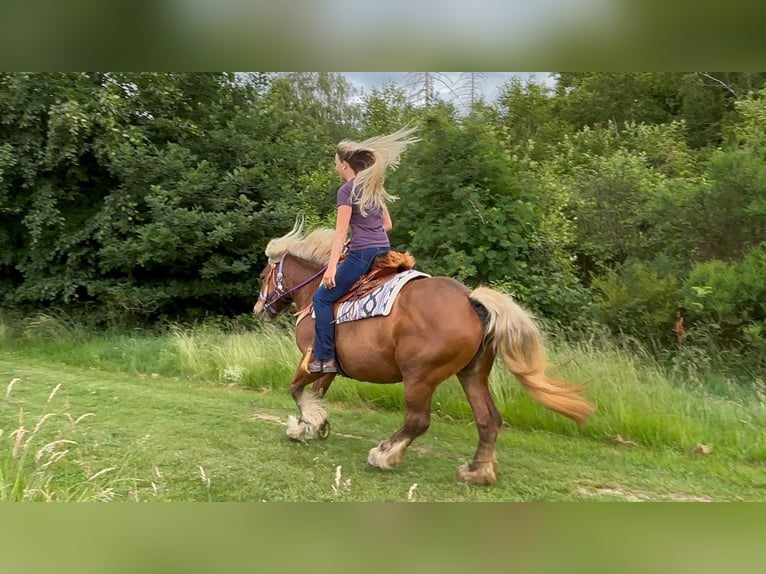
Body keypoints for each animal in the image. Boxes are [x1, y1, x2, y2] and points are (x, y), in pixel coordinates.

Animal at [253, 220, 594, 485]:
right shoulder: (329, 366)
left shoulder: (310, 358)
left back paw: (384, 455)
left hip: (420, 377)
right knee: (489, 420)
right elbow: (316, 394)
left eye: (262, 276)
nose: (258, 309)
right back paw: (477, 471)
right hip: (472, 374)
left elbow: (296, 390)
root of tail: (471, 299)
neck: (316, 294)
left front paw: (305, 425)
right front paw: (311, 425)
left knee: (418, 420)